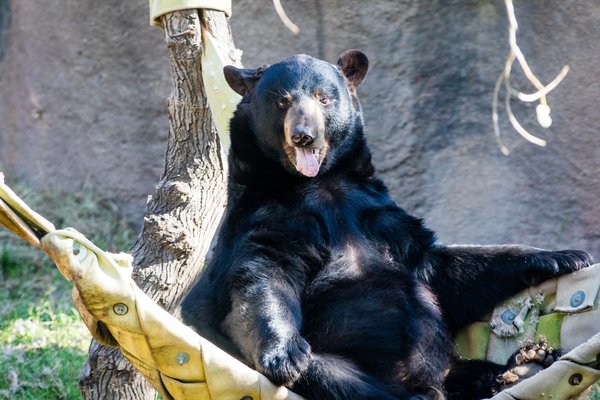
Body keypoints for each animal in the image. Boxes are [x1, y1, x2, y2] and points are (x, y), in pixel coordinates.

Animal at [180, 50, 592, 400]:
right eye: (282, 101)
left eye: (323, 98)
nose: (303, 136)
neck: (322, 185)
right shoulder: (268, 215)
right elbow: (263, 275)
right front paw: (283, 354)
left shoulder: (380, 215)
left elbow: (444, 269)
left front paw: (566, 256)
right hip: (344, 368)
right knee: (337, 379)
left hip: (451, 367)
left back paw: (523, 367)